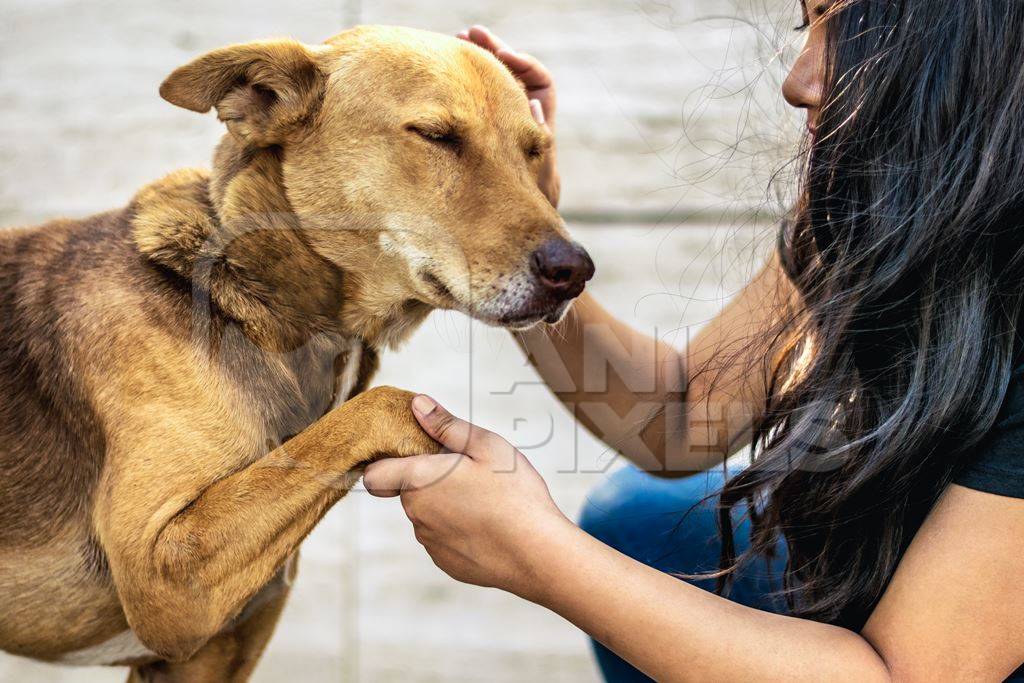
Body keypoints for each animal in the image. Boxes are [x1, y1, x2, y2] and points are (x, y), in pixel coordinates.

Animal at [0, 24, 593, 679]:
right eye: (439, 136)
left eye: (535, 151)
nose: (575, 271)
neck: (260, 305)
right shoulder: (166, 567)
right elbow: (383, 406)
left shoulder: (212, 650)